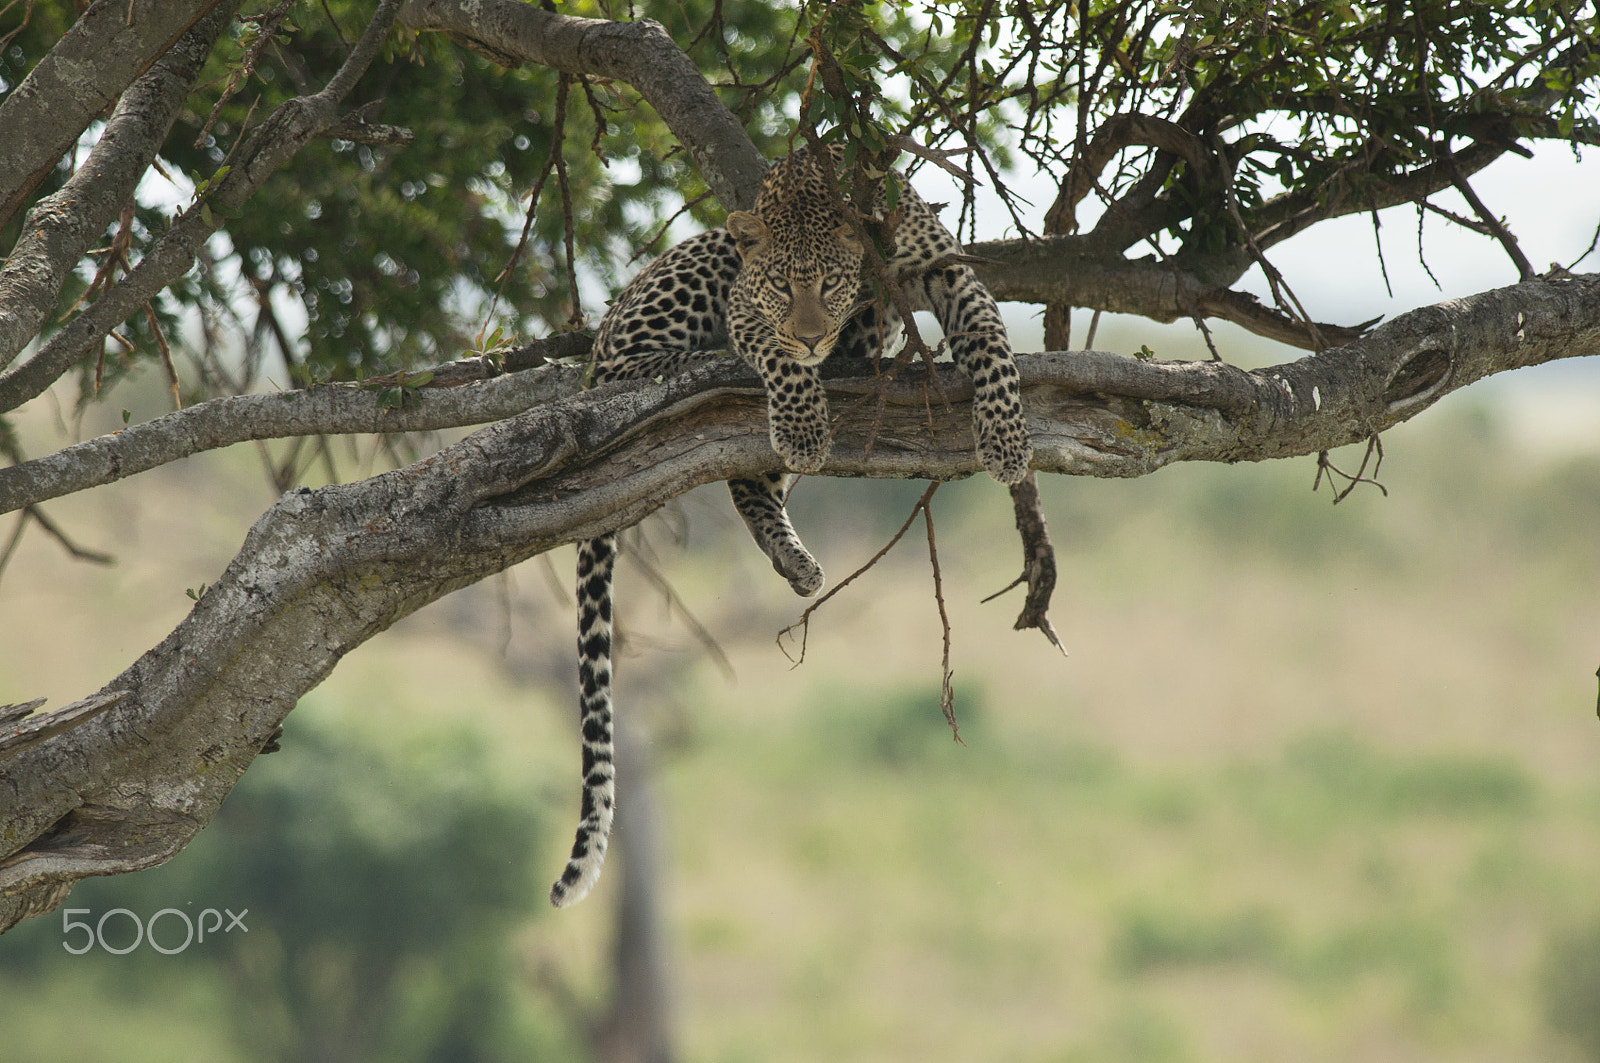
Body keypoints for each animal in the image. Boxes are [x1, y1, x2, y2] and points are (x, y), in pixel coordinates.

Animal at [547, 145, 1033, 908]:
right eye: (779, 286)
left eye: (830, 283)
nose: (812, 334)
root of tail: (594, 345)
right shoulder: (752, 309)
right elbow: (774, 356)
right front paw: (803, 421)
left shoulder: (941, 264)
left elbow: (987, 334)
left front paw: (1007, 438)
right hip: (691, 274)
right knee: (637, 371)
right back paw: (702, 365)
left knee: (748, 479)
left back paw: (796, 555)